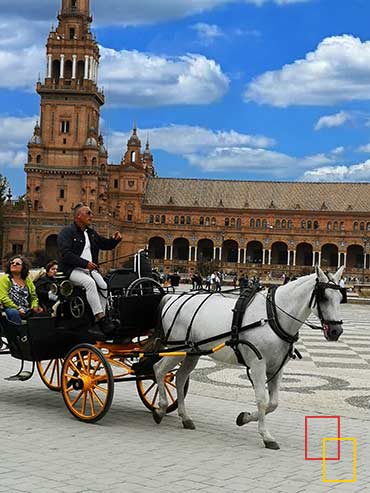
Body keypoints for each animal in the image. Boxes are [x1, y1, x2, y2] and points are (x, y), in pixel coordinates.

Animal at [152, 266, 346, 450]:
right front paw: (266, 436)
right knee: (159, 370)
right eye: (324, 297)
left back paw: (185, 417)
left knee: (179, 377)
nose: (336, 331)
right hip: (177, 350)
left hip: (192, 352)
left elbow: (273, 403)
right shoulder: (258, 365)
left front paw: (244, 418)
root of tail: (173, 298)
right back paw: (160, 409)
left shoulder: (277, 368)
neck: (273, 316)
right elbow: (262, 400)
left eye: (340, 297)